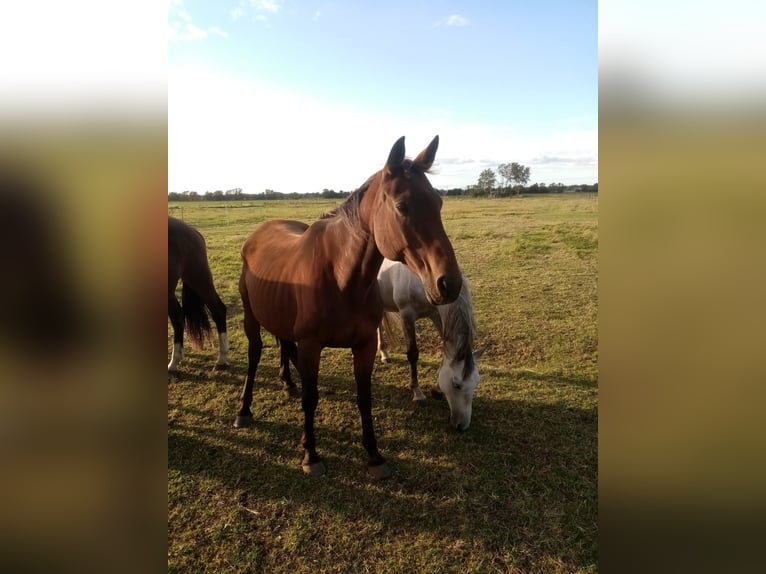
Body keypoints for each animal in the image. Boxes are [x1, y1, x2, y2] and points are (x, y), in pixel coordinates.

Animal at [168, 216, 228, 374]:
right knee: (177, 316)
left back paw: (222, 360)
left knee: (218, 310)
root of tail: (192, 231)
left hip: (199, 278)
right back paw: (174, 362)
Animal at [236, 136, 462, 482]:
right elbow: (312, 398)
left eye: (438, 203)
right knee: (254, 354)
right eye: (403, 206)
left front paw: (374, 455)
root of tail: (259, 233)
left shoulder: (365, 344)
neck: (341, 277)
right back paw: (244, 410)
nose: (449, 283)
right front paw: (311, 454)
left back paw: (288, 384)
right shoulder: (311, 345)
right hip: (251, 317)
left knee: (284, 345)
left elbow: (364, 397)